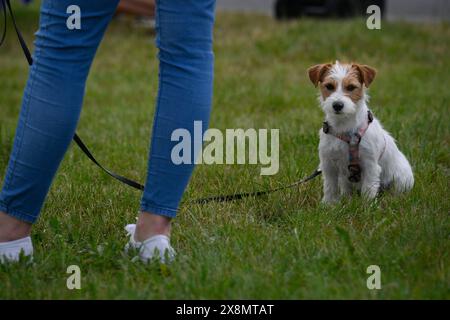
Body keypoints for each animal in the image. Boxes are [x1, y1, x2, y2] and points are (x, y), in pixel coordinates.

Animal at [308, 61, 414, 204]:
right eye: (329, 86)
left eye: (351, 87)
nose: (337, 105)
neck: (344, 127)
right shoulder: (328, 164)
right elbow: (330, 187)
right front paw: (328, 204)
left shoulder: (370, 165)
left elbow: (368, 189)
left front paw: (366, 205)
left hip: (400, 180)